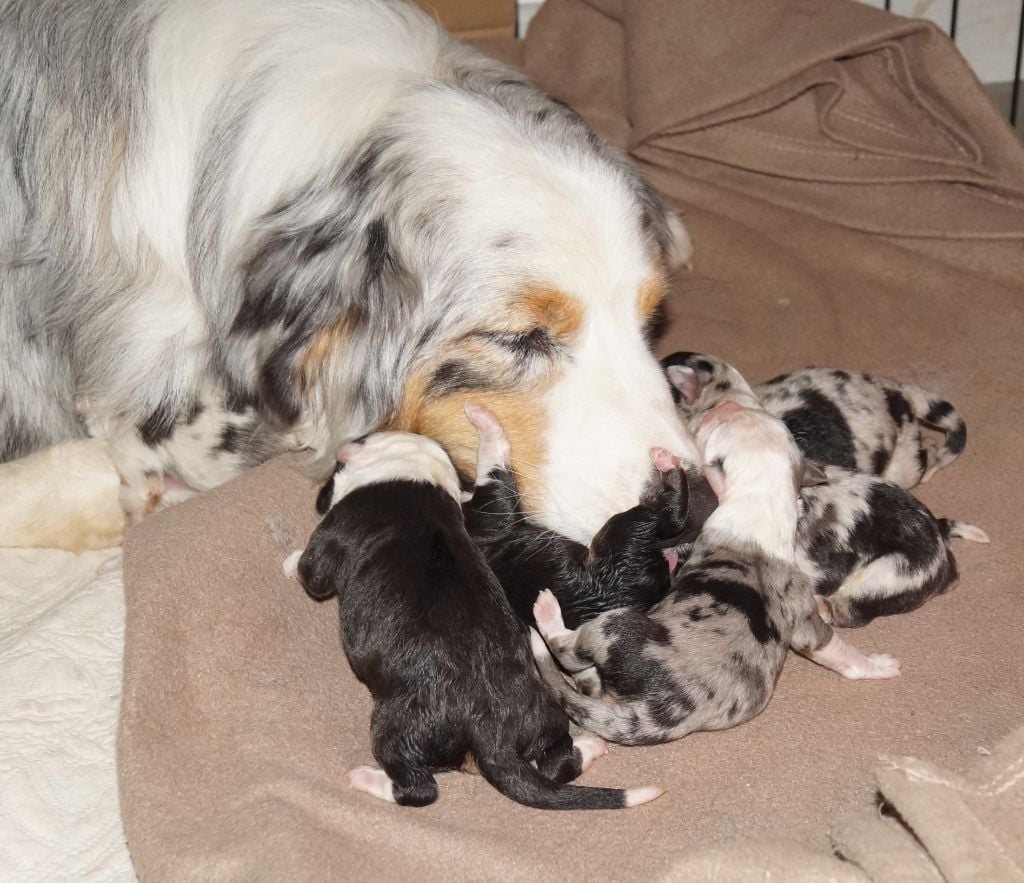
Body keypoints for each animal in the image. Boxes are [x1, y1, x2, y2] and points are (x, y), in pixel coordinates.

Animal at [460, 403, 716, 631]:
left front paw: (477, 414)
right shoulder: (492, 510)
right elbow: (492, 459)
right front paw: (481, 418)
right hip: (624, 527)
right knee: (670, 515)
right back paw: (666, 463)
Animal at [528, 403, 897, 749]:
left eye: (717, 427)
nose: (724, 405)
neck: (761, 498)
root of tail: (653, 713)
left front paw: (667, 462)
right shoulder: (804, 614)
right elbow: (833, 648)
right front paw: (877, 666)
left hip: (615, 625)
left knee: (565, 649)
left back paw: (546, 615)